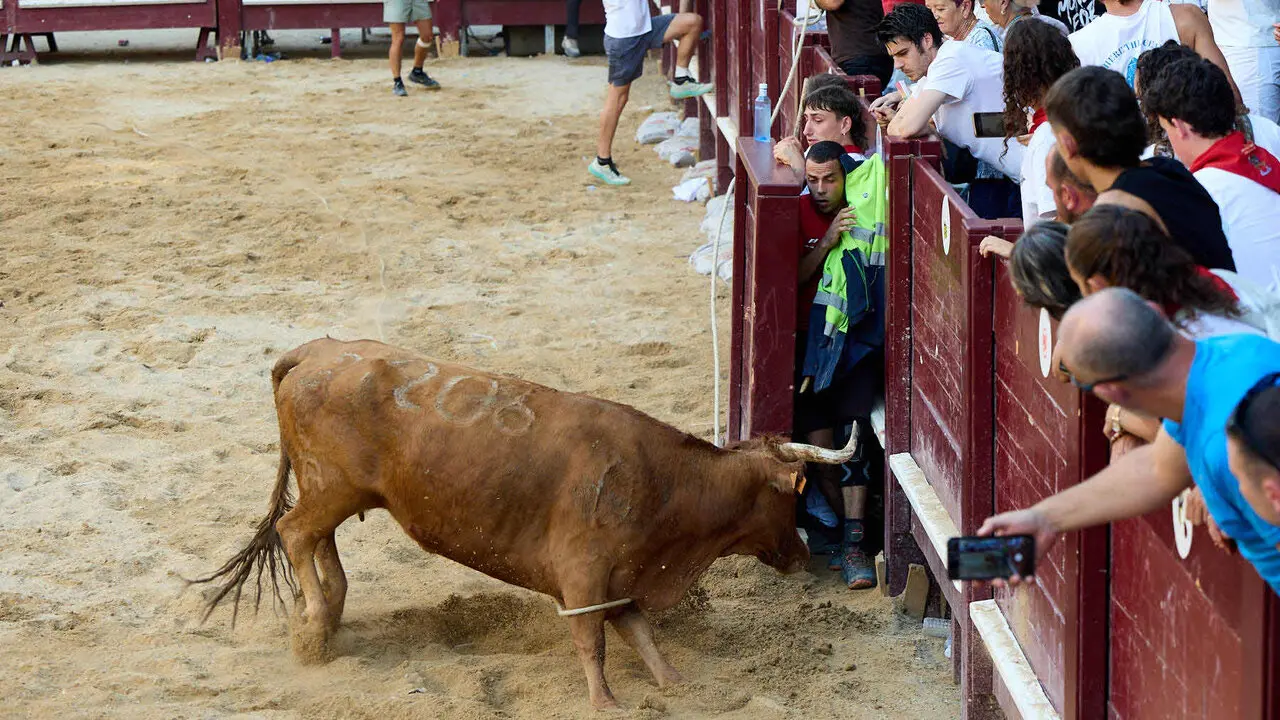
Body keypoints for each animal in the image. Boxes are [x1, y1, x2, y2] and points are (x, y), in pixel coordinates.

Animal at [193, 338, 859, 709]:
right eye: (794, 498)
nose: (805, 554)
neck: (668, 481)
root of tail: (317, 351)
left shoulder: (621, 575)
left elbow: (640, 632)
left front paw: (674, 682)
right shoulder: (586, 573)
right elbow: (593, 640)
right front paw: (605, 702)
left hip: (337, 492)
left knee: (319, 542)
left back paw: (329, 614)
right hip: (331, 488)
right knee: (296, 533)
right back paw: (312, 626)